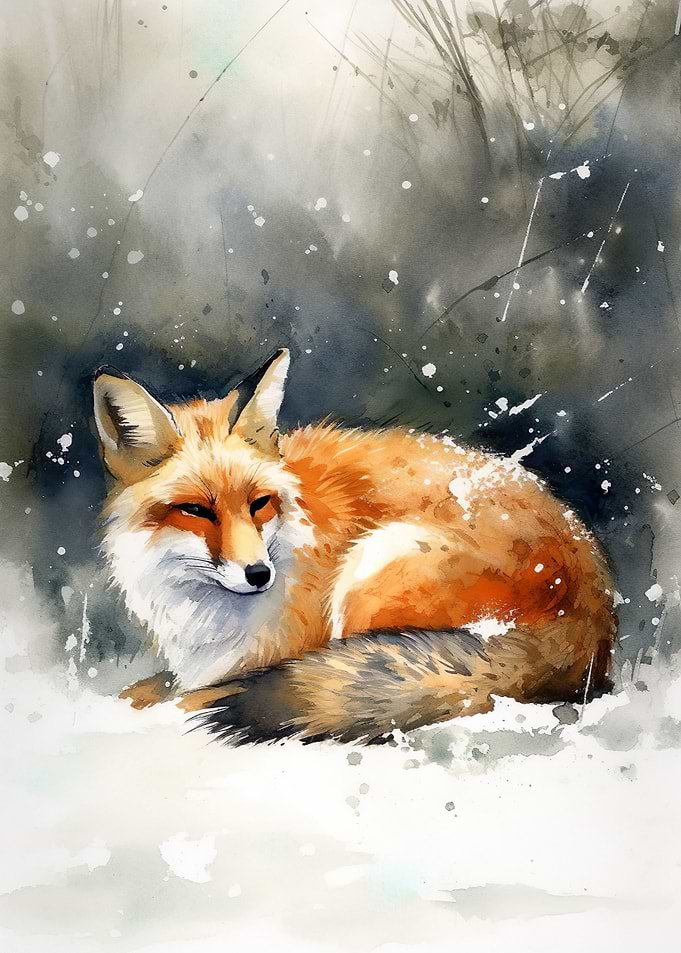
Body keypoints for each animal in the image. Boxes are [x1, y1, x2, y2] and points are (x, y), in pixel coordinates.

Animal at [93, 348, 616, 743]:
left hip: (371, 570)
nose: (259, 575)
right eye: (196, 510)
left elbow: (186, 697)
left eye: (259, 503)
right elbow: (144, 691)